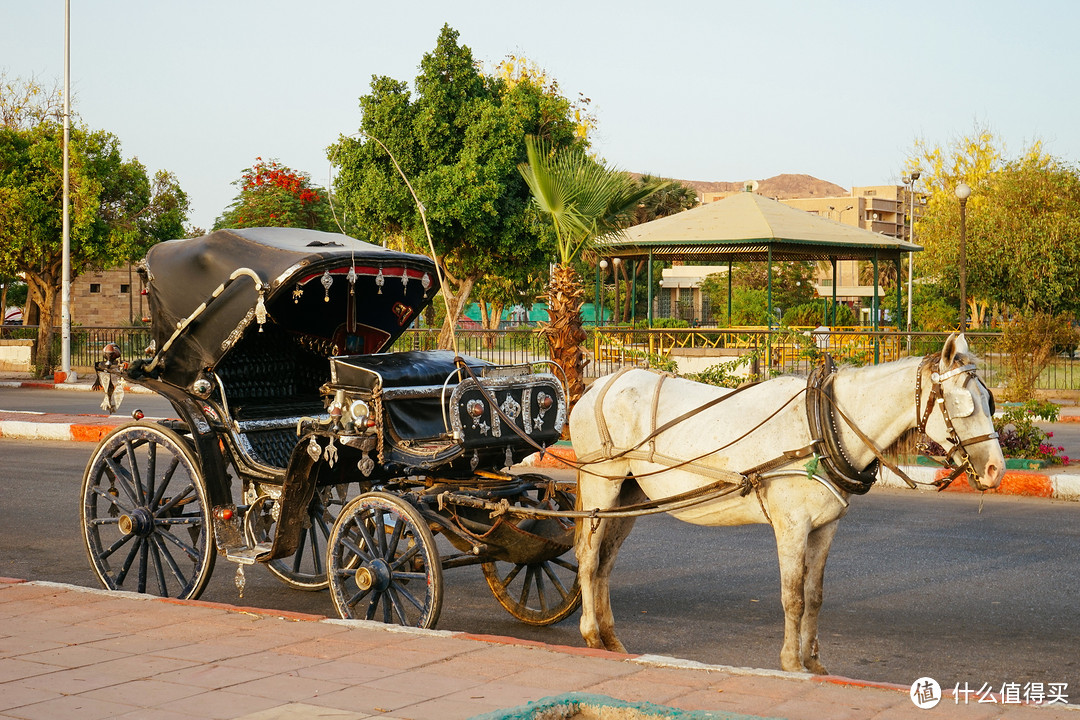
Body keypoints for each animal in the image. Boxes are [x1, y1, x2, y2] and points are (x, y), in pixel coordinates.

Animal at [574, 334, 1002, 673]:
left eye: (990, 400)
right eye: (963, 405)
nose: (995, 469)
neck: (823, 427)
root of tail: (596, 387)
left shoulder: (825, 526)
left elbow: (814, 596)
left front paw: (813, 662)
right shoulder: (792, 526)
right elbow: (793, 596)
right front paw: (792, 663)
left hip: (630, 494)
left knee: (606, 562)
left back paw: (612, 641)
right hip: (601, 487)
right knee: (589, 558)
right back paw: (591, 634)